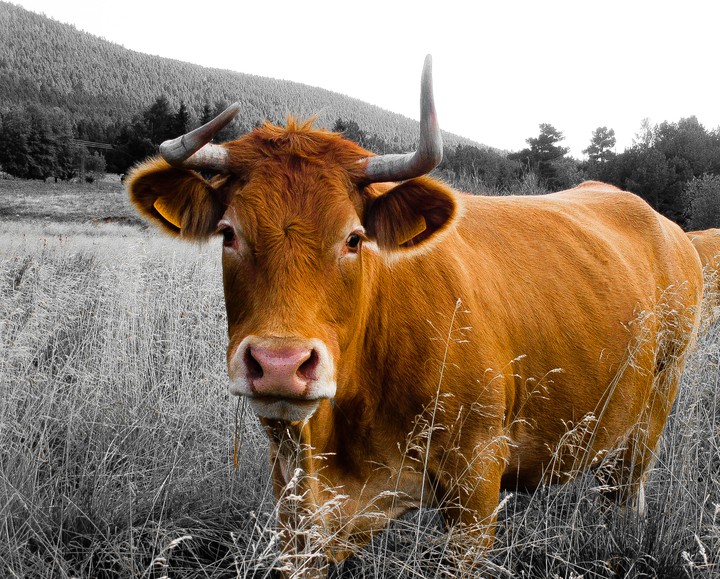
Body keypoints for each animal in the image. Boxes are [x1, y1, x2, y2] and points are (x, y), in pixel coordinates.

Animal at [127, 56, 703, 576]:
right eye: (228, 233)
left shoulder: (476, 484)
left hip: (653, 406)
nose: (280, 365)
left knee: (626, 496)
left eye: (354, 238)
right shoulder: (295, 503)